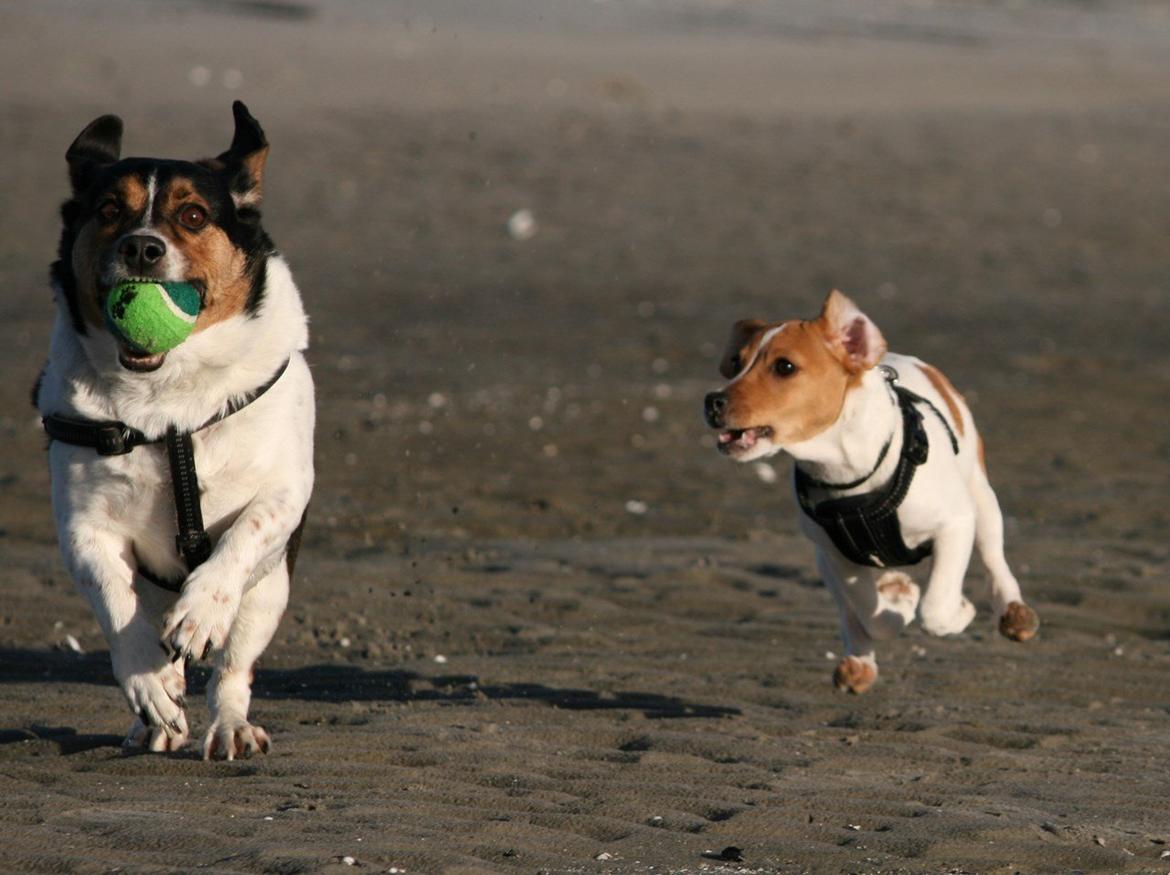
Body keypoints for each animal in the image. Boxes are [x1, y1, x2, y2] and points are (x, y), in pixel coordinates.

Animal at [34, 104, 315, 758]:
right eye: (109, 210)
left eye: (193, 216)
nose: (142, 247)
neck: (169, 406)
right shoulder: (83, 527)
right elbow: (115, 599)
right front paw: (150, 682)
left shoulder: (283, 495)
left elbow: (240, 541)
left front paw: (201, 611)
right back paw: (154, 720)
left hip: (269, 595)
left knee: (233, 671)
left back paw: (231, 726)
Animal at [702, 290, 1043, 692]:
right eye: (735, 363)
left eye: (784, 367)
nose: (712, 401)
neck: (846, 470)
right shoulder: (834, 552)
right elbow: (869, 611)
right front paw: (898, 600)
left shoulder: (955, 523)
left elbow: (935, 608)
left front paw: (956, 612)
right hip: (826, 561)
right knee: (849, 611)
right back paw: (861, 657)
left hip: (982, 498)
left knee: (993, 558)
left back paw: (1013, 612)